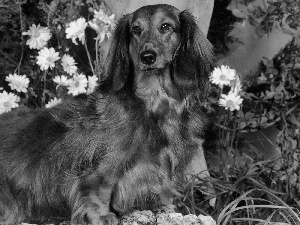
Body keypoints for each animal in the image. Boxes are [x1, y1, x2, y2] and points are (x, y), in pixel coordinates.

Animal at [0, 3, 213, 225]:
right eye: (135, 29)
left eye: (166, 26)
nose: (147, 57)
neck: (152, 105)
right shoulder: (102, 168)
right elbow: (98, 189)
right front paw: (103, 215)